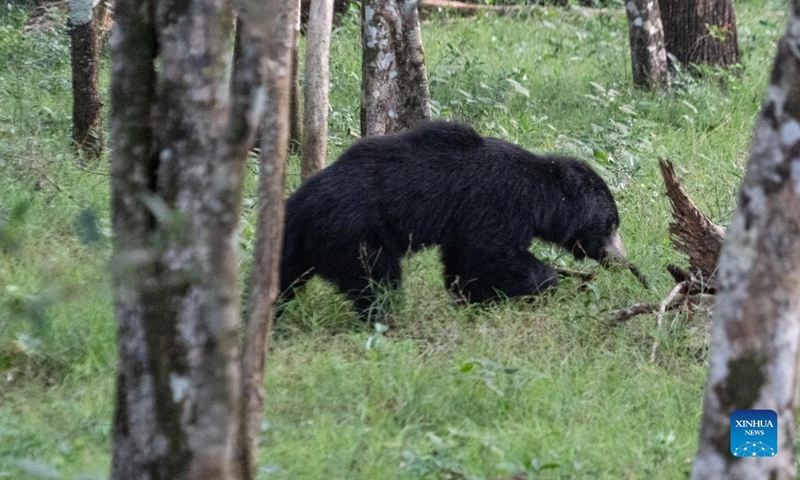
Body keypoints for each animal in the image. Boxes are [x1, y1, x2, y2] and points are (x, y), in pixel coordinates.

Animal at [279, 120, 629, 315]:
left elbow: (462, 261)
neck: (542, 194)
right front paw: (541, 283)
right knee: (377, 281)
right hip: (354, 236)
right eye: (611, 225)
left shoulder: (463, 223)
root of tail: (300, 204)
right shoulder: (501, 203)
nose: (622, 260)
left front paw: (471, 298)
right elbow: (493, 253)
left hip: (299, 244)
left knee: (283, 279)